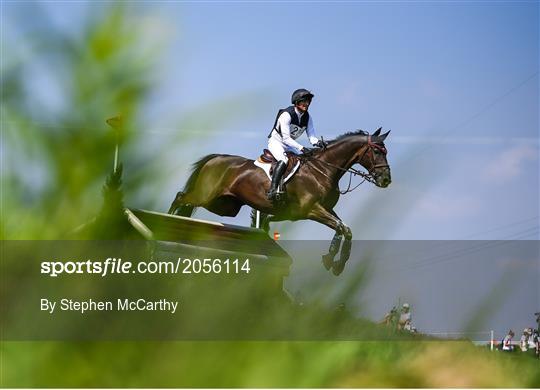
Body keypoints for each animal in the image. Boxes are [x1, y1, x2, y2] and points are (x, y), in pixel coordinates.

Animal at [167, 128, 390, 274]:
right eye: (377, 151)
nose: (386, 179)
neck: (323, 169)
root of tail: (216, 158)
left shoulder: (315, 211)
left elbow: (345, 228)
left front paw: (337, 264)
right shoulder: (312, 210)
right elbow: (340, 227)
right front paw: (331, 258)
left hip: (223, 206)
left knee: (187, 203)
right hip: (206, 196)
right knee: (180, 197)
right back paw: (167, 221)